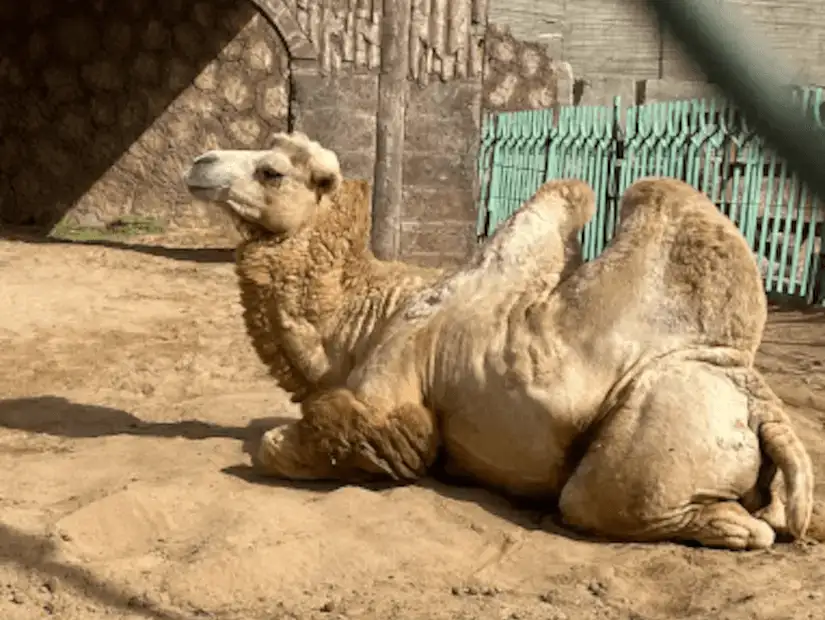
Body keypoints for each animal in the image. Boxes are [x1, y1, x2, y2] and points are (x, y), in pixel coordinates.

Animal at [256, 177, 812, 548]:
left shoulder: (393, 374)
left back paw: (736, 528)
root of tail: (762, 404)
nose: (215, 164)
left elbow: (332, 439)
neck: (372, 310)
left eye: (270, 170)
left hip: (670, 418)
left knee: (592, 499)